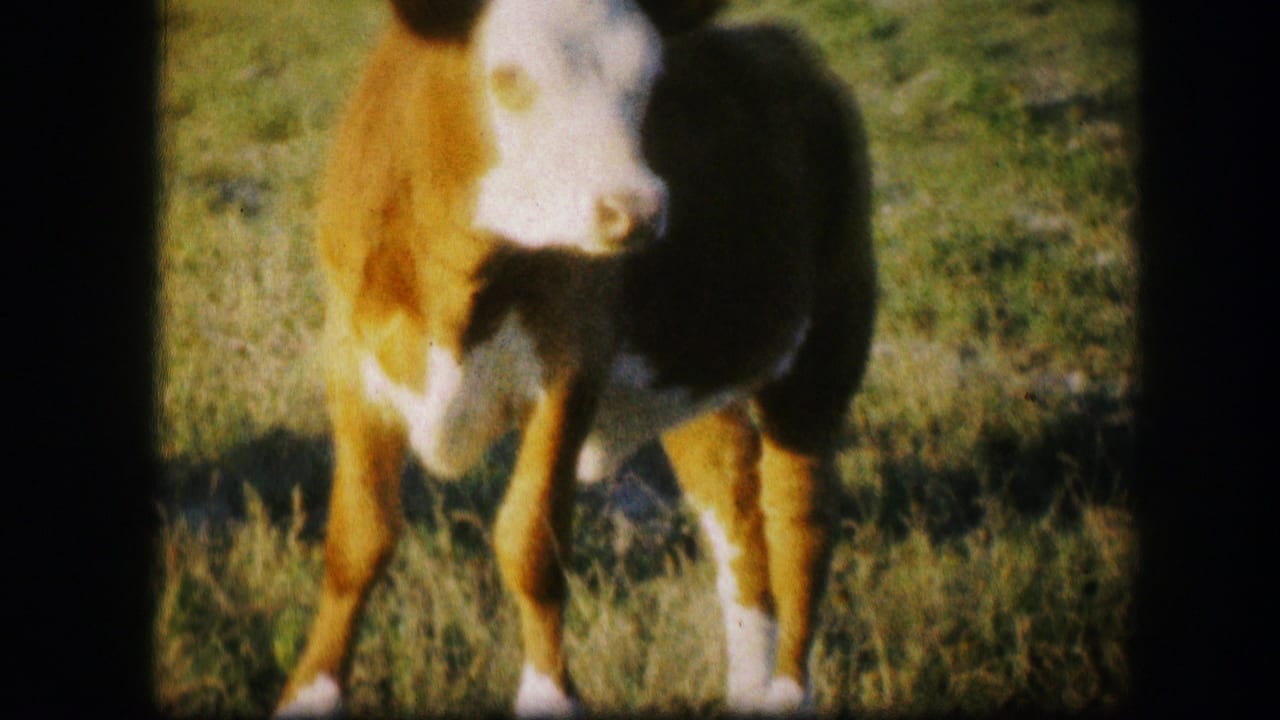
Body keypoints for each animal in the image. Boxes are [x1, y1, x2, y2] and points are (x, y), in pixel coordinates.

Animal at [275, 0, 875, 715]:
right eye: (509, 76)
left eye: (649, 76)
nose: (636, 210)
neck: (455, 282)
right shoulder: (352, 360)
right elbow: (358, 539)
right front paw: (311, 693)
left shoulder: (571, 368)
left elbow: (530, 539)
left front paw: (547, 694)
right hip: (695, 378)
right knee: (733, 504)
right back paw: (748, 684)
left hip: (830, 338)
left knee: (800, 519)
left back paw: (786, 690)